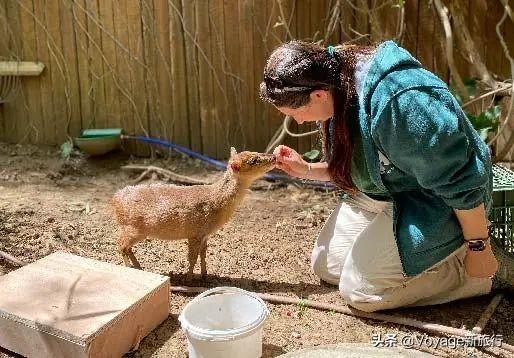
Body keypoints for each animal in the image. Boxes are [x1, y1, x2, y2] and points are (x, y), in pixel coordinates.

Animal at [110, 147, 274, 282]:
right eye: (253, 160)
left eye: (255, 151)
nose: (273, 157)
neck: (217, 204)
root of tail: (114, 200)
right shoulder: (195, 232)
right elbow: (192, 258)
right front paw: (189, 279)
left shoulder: (205, 235)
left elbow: (203, 255)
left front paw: (205, 275)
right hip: (133, 228)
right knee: (121, 245)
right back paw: (130, 268)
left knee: (126, 247)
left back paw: (139, 267)